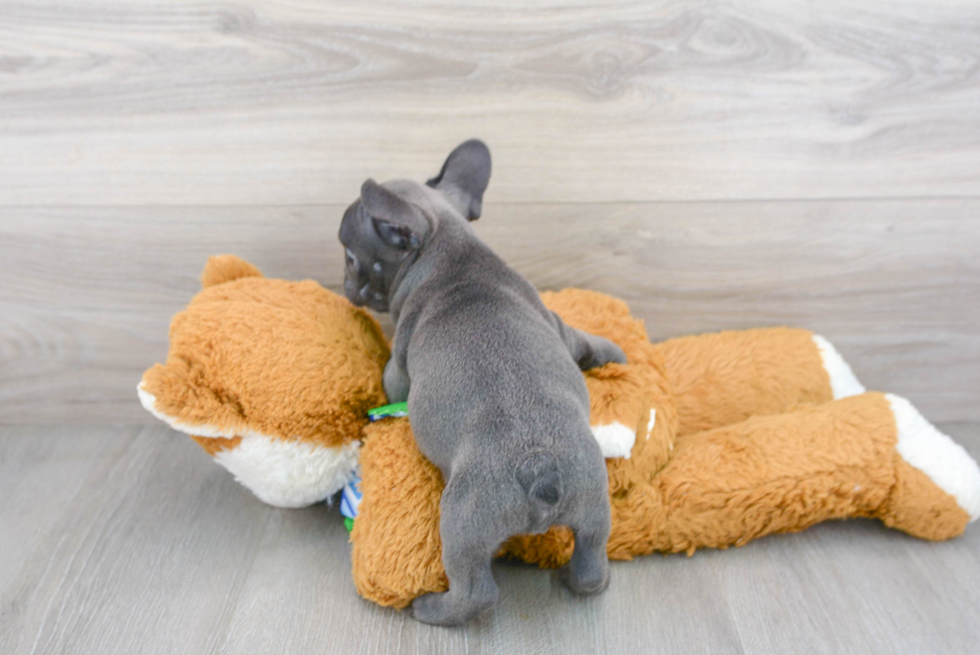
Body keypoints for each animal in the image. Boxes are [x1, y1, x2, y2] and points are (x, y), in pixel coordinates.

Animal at [340, 140, 624, 624]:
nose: (344, 283)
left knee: (477, 591)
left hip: (462, 521)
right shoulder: (555, 323)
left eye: (351, 258)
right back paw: (577, 579)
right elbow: (582, 339)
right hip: (593, 506)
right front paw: (613, 354)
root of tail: (541, 472)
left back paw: (432, 608)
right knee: (592, 564)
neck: (451, 249)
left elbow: (393, 384)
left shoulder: (399, 366)